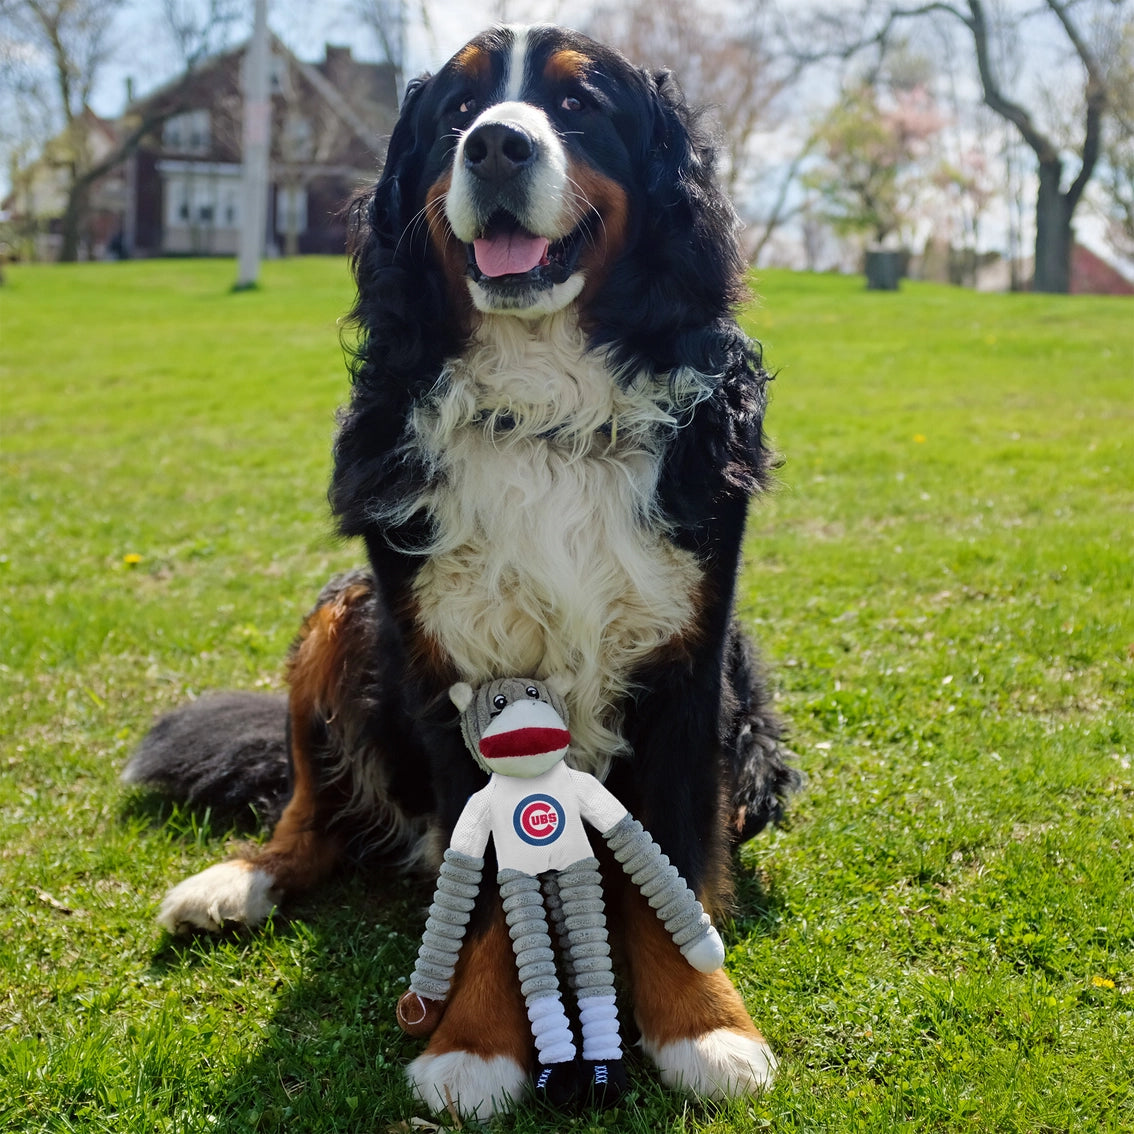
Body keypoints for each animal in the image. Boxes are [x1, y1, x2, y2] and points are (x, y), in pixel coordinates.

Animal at [124, 24, 798, 1115]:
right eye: (456, 112)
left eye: (576, 106)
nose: (495, 146)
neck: (546, 410)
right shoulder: (446, 671)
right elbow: (477, 874)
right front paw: (475, 1044)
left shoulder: (692, 659)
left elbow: (674, 859)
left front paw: (706, 1027)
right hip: (345, 614)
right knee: (313, 814)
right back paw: (235, 883)